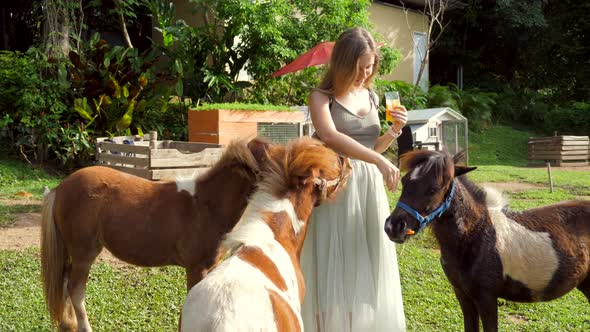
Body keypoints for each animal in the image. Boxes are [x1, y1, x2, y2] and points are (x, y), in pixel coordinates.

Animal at [40, 138, 272, 332]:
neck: (206, 205)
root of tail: (60, 188)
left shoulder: (211, 266)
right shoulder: (196, 268)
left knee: (65, 283)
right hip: (84, 253)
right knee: (75, 289)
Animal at [384, 150, 590, 332]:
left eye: (434, 188)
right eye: (403, 181)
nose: (394, 227)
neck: (477, 236)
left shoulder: (486, 298)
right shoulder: (463, 295)